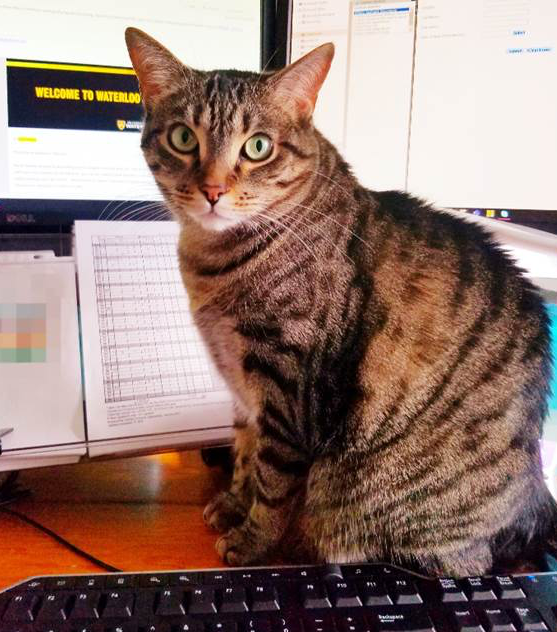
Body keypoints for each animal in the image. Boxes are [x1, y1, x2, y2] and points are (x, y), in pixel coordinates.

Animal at [124, 27, 552, 576]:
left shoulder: (288, 387)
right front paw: (233, 503)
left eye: (257, 147)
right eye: (183, 138)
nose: (213, 189)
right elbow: (244, 452)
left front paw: (251, 541)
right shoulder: (242, 389)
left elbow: (272, 482)